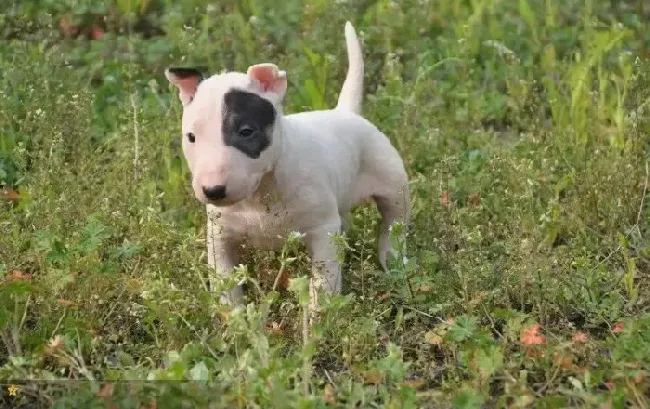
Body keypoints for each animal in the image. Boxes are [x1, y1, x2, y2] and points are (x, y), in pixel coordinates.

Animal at [165, 21, 408, 310]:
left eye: (246, 131)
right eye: (191, 137)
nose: (213, 191)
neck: (261, 194)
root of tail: (346, 113)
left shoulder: (322, 229)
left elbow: (323, 282)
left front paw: (319, 315)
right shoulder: (220, 236)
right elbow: (226, 282)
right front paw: (235, 317)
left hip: (391, 179)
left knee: (394, 221)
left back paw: (393, 260)